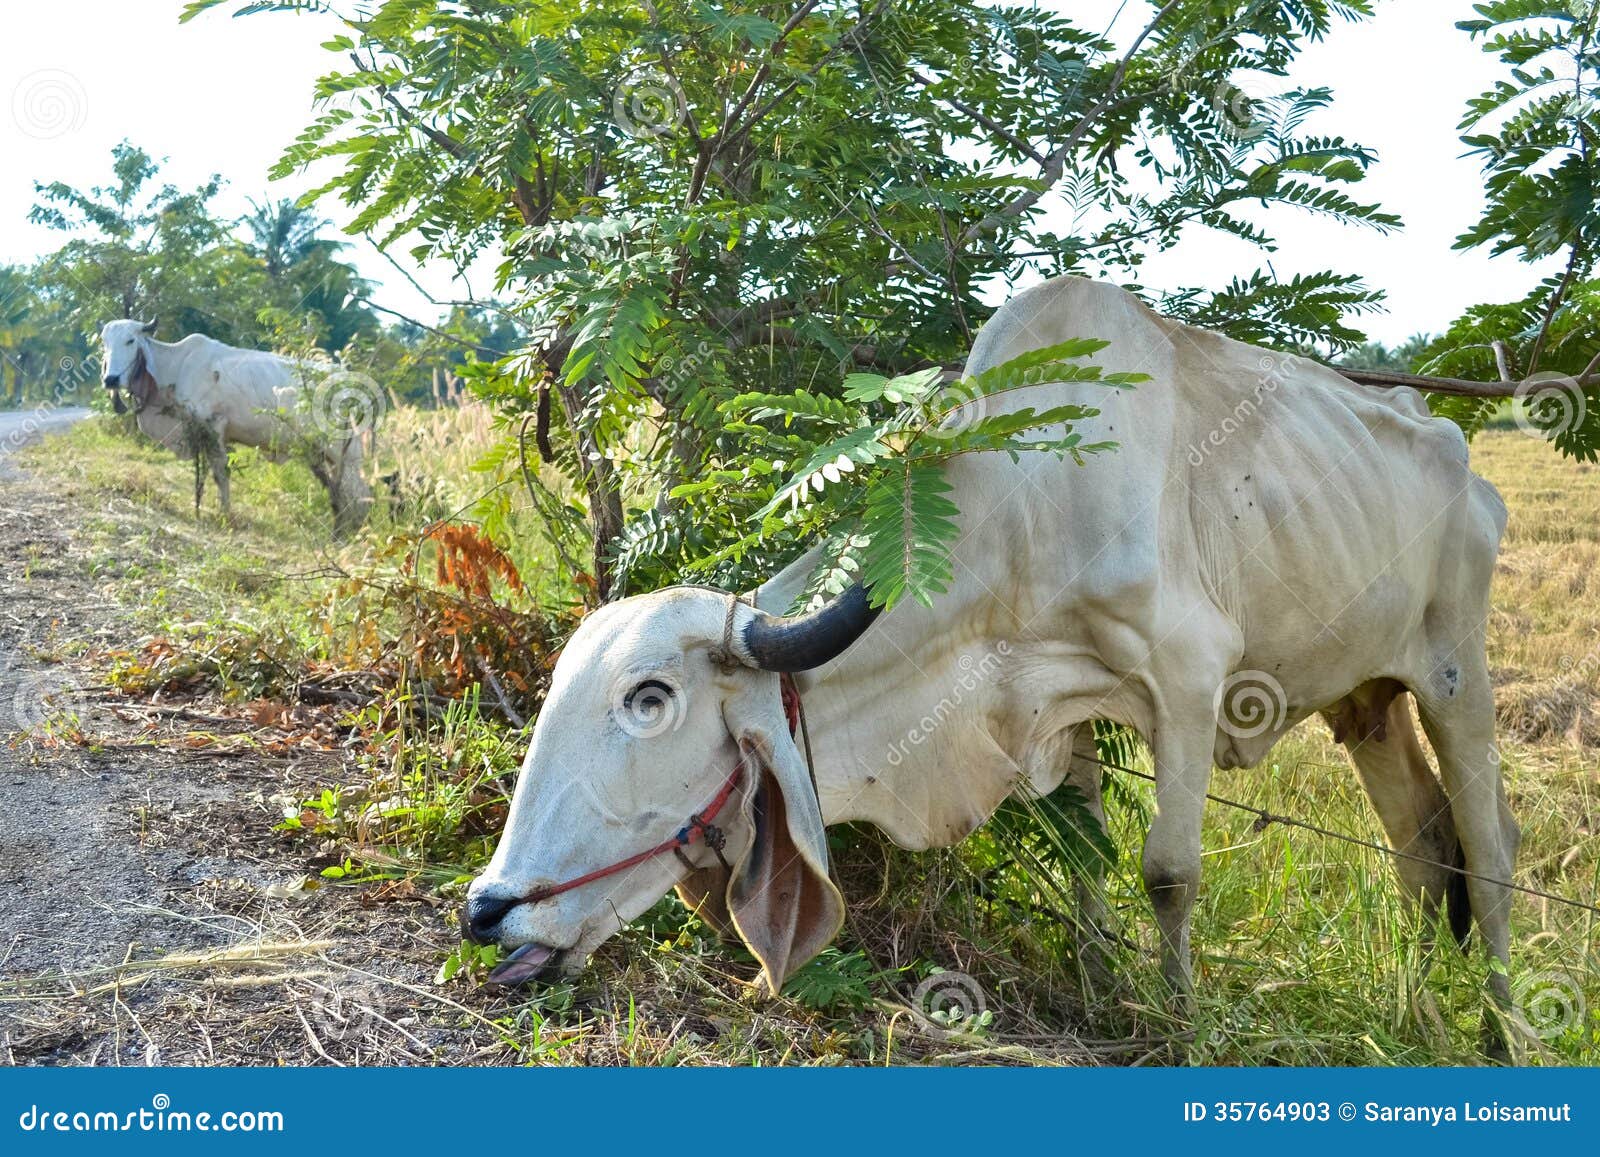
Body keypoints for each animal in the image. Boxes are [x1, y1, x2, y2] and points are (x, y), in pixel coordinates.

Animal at [98, 319, 373, 536]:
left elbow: (221, 474)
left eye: (130, 341)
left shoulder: (214, 426)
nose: (110, 379)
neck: (176, 365)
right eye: (105, 343)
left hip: (347, 453)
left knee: (360, 490)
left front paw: (224, 514)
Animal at [463, 276, 1520, 1050]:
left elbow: (1168, 873)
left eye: (650, 697)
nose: (488, 909)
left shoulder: (1187, 678)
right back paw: (1420, 1006)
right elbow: (1089, 854)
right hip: (1366, 696)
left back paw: (1500, 1033)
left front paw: (1179, 1025)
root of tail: (1461, 455)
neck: (1020, 507)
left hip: (1454, 671)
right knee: (1422, 842)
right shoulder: (1068, 706)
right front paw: (1099, 989)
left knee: (1491, 847)